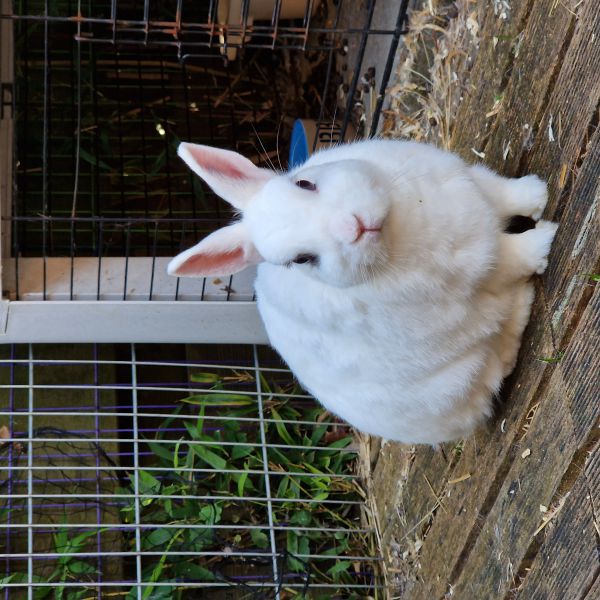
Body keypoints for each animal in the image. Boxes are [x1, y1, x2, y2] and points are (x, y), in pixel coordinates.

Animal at [168, 138, 556, 442]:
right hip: (467, 371)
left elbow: (505, 194)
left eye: (304, 183)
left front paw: (539, 194)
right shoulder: (482, 271)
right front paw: (546, 238)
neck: (397, 233)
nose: (351, 226)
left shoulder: (472, 184)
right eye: (301, 259)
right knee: (503, 348)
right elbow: (514, 257)